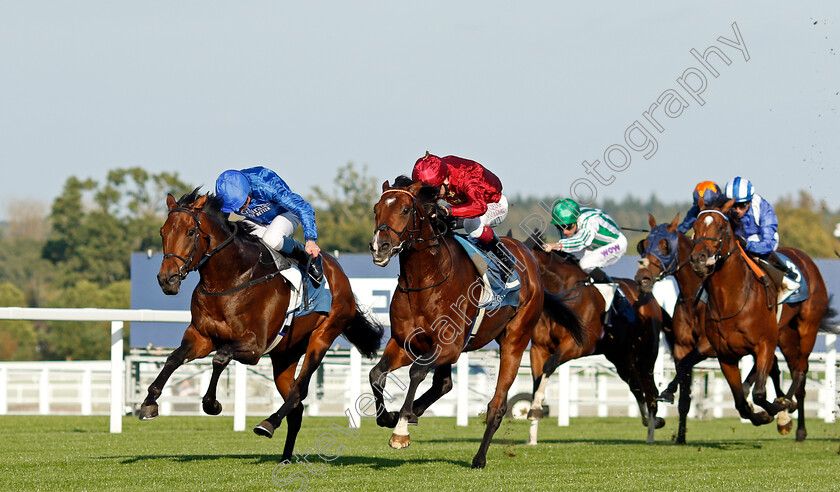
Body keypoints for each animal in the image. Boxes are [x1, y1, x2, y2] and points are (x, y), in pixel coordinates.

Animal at [140, 189, 384, 462]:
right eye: (163, 232)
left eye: (190, 232)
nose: (167, 279)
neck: (231, 278)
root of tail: (341, 276)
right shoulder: (201, 337)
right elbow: (174, 358)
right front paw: (149, 402)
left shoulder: (254, 346)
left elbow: (220, 358)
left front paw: (211, 403)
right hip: (284, 355)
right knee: (296, 407)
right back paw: (285, 457)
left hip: (323, 336)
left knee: (299, 390)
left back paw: (268, 423)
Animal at [368, 178, 584, 468]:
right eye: (376, 209)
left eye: (404, 209)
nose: (379, 247)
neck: (426, 280)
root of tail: (528, 256)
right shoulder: (406, 342)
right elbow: (377, 374)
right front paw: (389, 416)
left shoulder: (450, 346)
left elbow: (416, 372)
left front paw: (400, 429)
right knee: (443, 385)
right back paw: (413, 412)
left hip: (515, 340)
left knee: (497, 405)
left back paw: (478, 457)